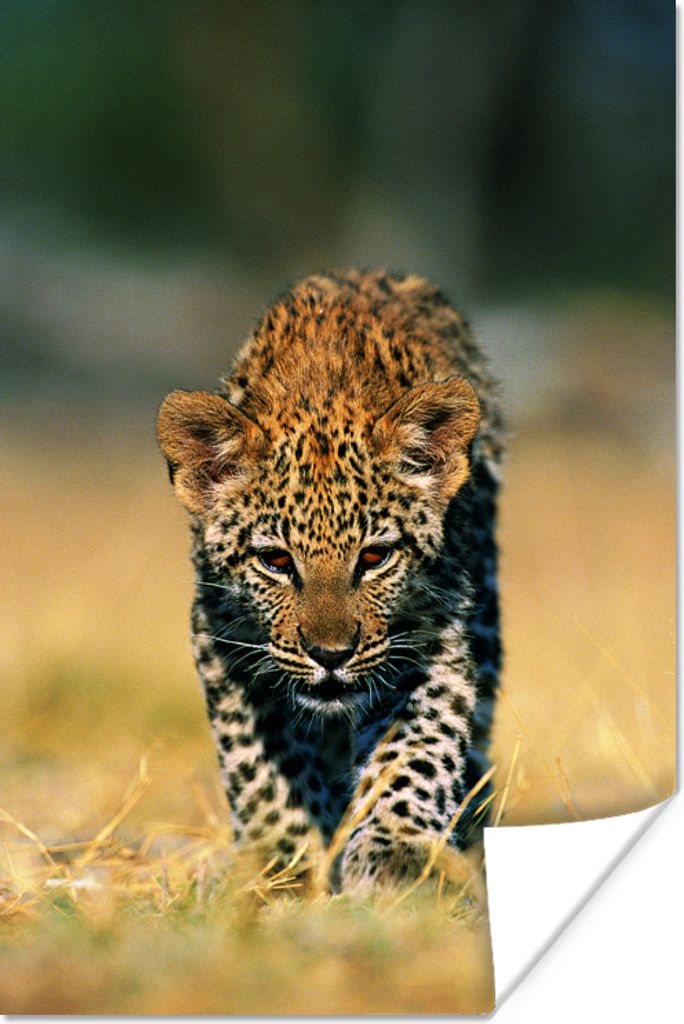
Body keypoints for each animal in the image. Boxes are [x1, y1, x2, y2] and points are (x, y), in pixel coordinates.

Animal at [157, 269, 503, 894]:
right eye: (275, 561)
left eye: (375, 557)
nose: (330, 655)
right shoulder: (223, 639)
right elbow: (261, 766)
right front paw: (284, 862)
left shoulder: (434, 637)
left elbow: (413, 751)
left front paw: (396, 856)